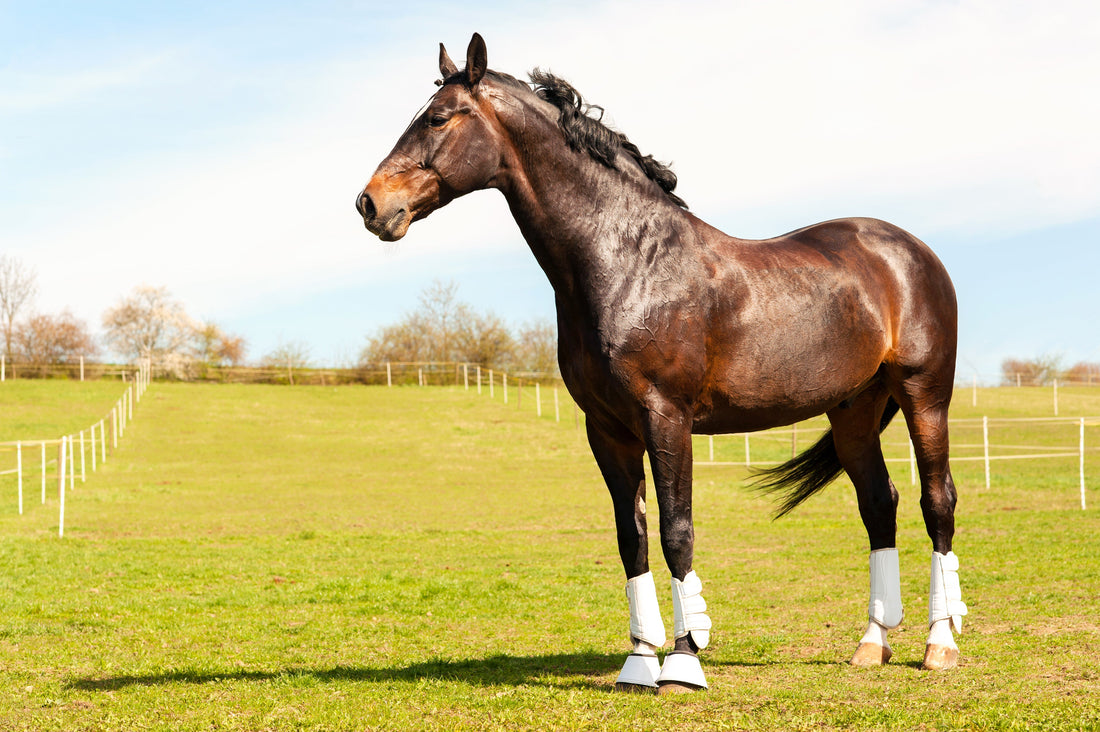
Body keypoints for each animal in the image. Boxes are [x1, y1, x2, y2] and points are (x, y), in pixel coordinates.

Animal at [356, 33, 967, 693]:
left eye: (439, 119)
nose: (370, 203)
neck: (630, 262)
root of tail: (910, 251)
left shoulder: (666, 417)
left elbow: (677, 531)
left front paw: (684, 660)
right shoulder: (608, 429)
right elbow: (633, 536)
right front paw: (639, 660)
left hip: (924, 396)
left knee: (937, 501)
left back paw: (940, 644)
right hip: (853, 412)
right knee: (879, 504)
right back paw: (872, 642)